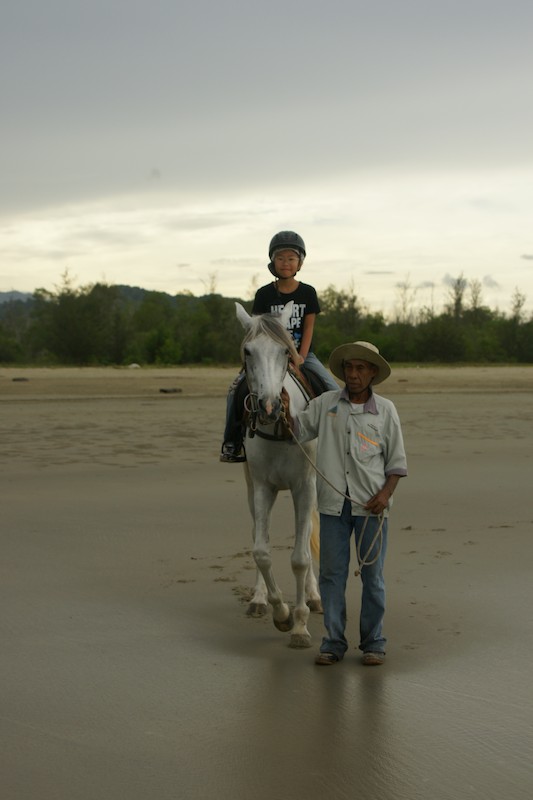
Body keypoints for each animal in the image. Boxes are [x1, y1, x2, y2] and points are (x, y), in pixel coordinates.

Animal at [235, 300, 322, 648]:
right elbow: (261, 550)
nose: (270, 406)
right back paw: (258, 600)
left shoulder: (304, 487)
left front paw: (299, 625)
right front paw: (281, 613)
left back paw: (314, 596)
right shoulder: (262, 487)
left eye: (286, 351)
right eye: (248, 351)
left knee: (311, 537)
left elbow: (300, 557)